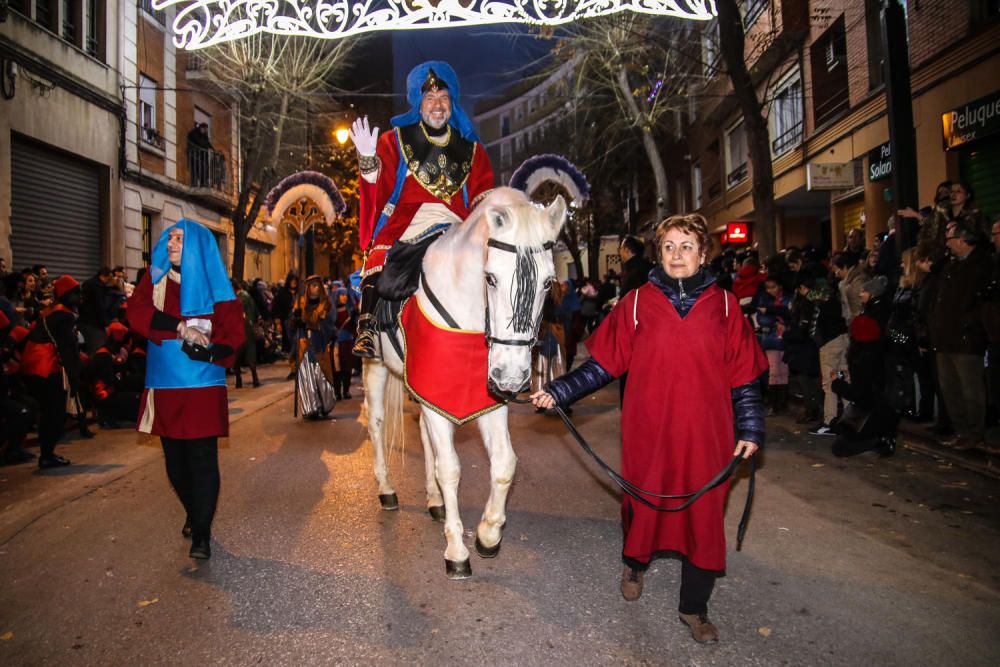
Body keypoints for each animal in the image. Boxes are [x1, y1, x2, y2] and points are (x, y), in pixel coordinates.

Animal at [362, 188, 568, 580]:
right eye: (490, 278)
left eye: (548, 282)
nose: (512, 377)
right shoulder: (439, 394)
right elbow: (451, 468)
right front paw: (457, 550)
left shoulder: (483, 399)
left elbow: (504, 464)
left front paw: (488, 533)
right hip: (375, 366)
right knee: (378, 424)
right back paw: (386, 489)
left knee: (423, 435)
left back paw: (434, 500)